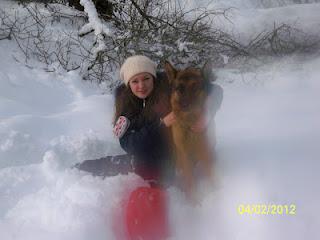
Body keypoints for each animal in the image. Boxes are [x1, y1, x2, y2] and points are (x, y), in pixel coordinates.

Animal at [165, 61, 215, 197]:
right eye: (179, 88)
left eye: (195, 87)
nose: (184, 105)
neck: (190, 122)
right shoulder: (184, 154)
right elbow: (190, 180)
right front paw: (195, 199)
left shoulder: (205, 149)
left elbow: (212, 176)